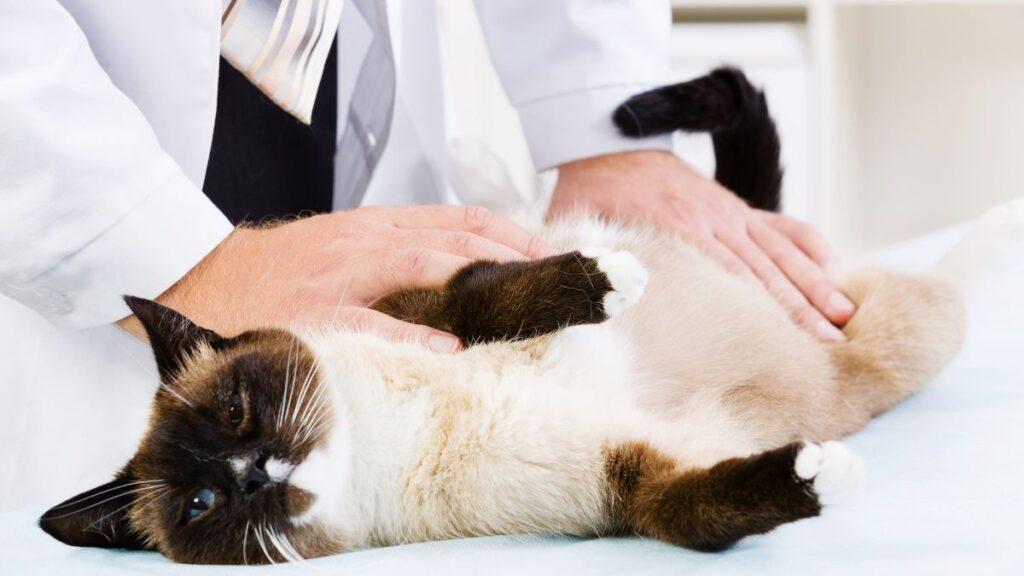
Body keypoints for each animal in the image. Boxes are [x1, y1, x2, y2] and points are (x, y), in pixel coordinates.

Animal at [37, 67, 983, 561]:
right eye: (202, 506)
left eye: (237, 409)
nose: (255, 473)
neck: (388, 440)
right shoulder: (623, 481)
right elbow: (692, 512)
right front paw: (816, 476)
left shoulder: (419, 303)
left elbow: (486, 292)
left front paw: (608, 279)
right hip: (899, 341)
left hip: (890, 330)